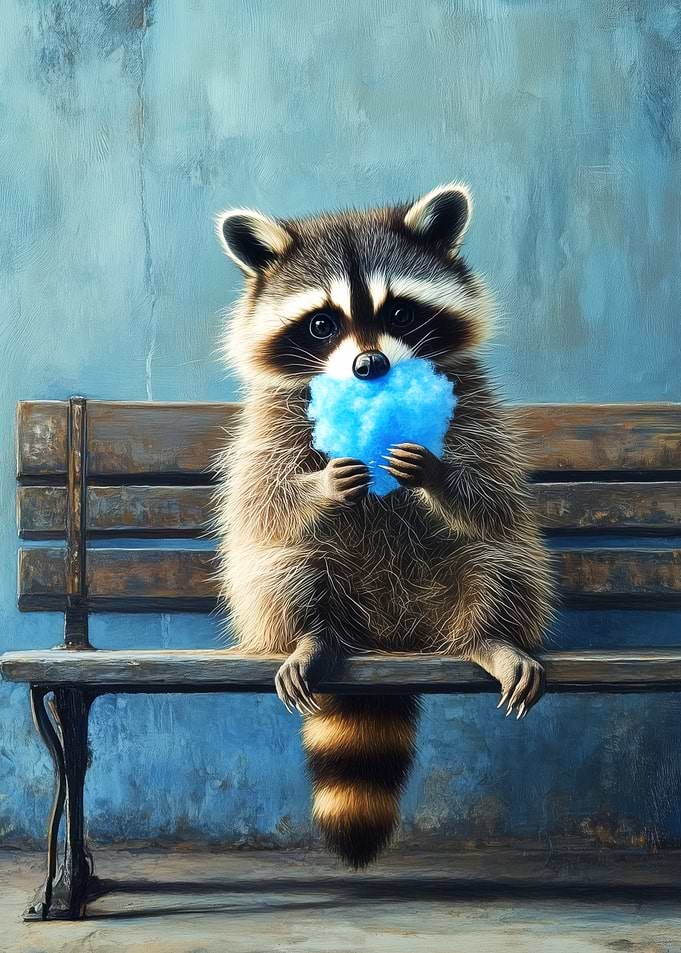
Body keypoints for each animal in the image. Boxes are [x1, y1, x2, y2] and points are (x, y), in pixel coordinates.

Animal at [213, 184, 554, 869]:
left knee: (501, 562)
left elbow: (496, 500)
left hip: (454, 593)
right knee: (281, 568)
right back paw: (310, 635)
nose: (369, 366)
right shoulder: (268, 419)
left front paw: (438, 477)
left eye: (398, 312)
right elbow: (262, 502)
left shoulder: (473, 402)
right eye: (322, 323)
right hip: (298, 591)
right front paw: (319, 486)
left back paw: (491, 636)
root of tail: (392, 638)